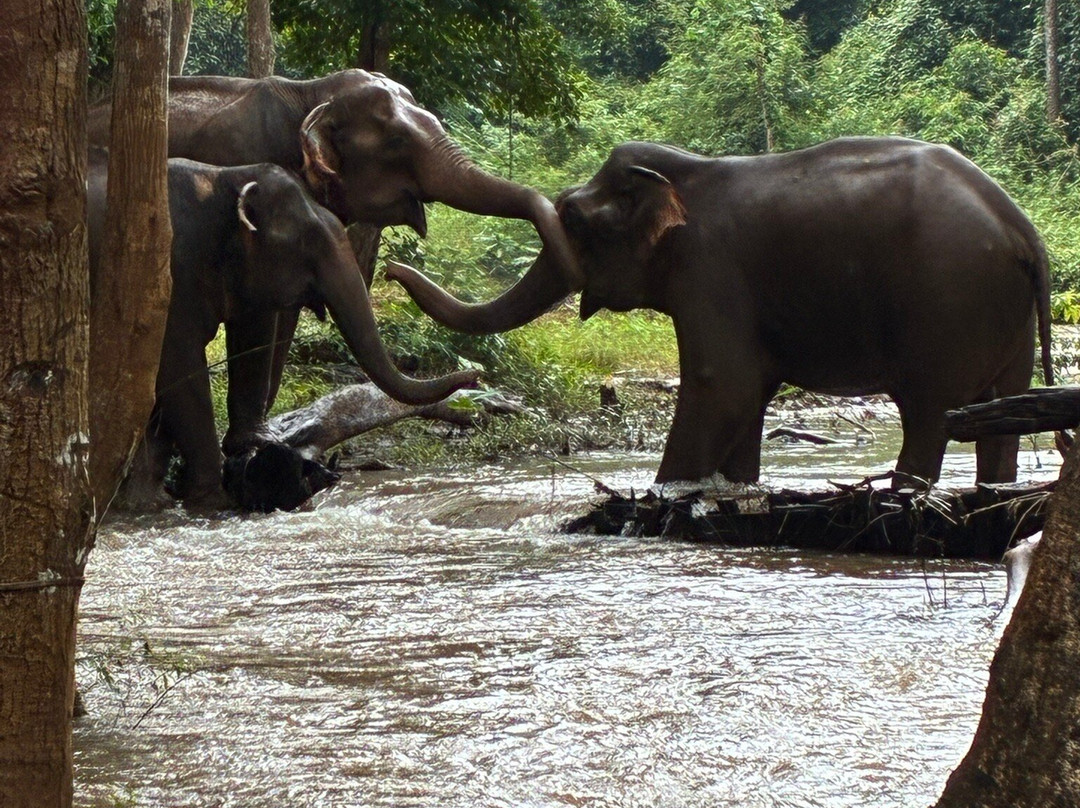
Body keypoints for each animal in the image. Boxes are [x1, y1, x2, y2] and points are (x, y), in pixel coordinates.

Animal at [88, 69, 579, 457]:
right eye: (397, 141)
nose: (392, 272)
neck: (310, 92)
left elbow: (279, 320)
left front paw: (262, 441)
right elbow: (260, 317)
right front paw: (254, 445)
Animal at [88, 148, 477, 506]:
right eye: (307, 244)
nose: (473, 377)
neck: (225, 177)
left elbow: (251, 334)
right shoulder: (170, 273)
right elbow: (178, 364)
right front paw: (213, 498)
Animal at [385, 137, 1055, 488]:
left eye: (572, 218)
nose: (390, 267)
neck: (682, 172)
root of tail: (1023, 230)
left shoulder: (709, 272)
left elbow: (722, 386)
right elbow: (748, 398)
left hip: (949, 303)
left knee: (930, 416)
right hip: (1005, 319)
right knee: (1001, 415)